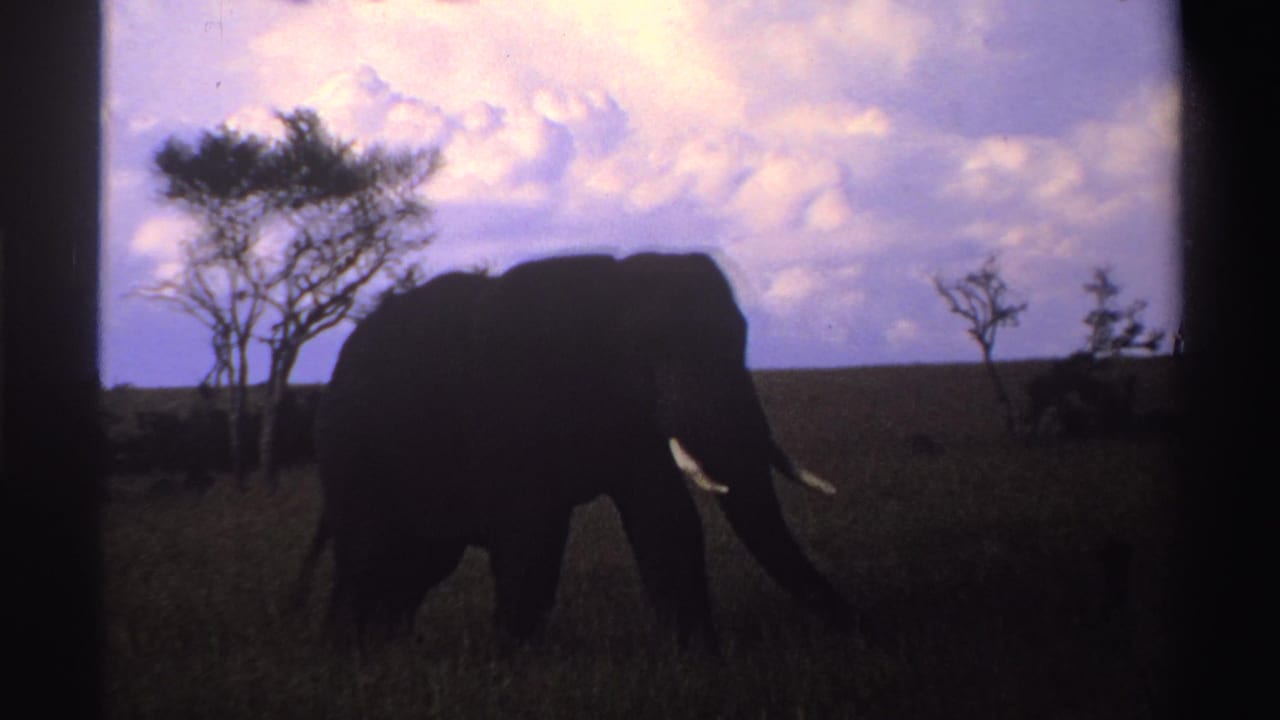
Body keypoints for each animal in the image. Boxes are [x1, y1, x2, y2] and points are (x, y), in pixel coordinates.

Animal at [293, 252, 851, 648]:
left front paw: (698, 653)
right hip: (350, 452)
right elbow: (530, 534)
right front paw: (513, 661)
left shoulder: (633, 420)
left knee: (415, 565)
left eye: (741, 339)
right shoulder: (509, 409)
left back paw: (385, 649)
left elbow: (667, 521)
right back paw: (350, 652)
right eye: (650, 352)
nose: (847, 624)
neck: (609, 289)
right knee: (369, 556)